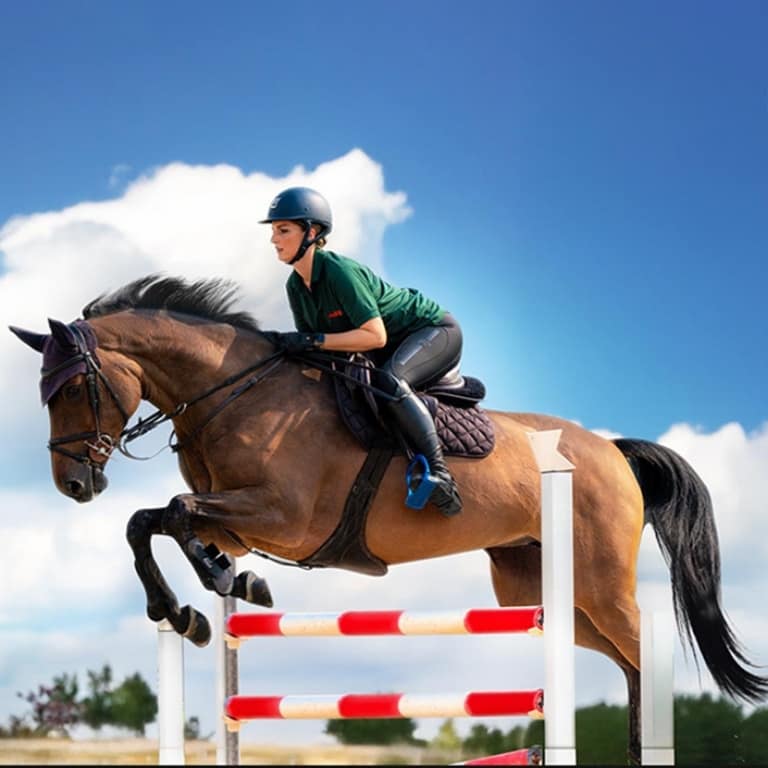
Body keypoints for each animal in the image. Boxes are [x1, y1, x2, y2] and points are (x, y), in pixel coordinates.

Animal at [10, 274, 768, 764]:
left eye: (73, 388)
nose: (74, 484)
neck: (233, 395)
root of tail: (611, 450)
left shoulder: (284, 516)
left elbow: (170, 512)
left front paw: (212, 590)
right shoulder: (244, 520)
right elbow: (152, 522)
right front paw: (201, 605)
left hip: (600, 583)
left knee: (646, 653)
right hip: (539, 594)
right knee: (626, 662)